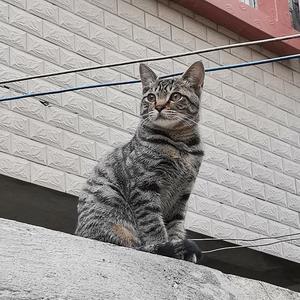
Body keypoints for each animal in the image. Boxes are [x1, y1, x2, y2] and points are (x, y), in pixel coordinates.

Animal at [76, 61, 205, 262]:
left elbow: (176, 224)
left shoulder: (182, 194)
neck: (181, 145)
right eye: (151, 97)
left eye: (175, 96)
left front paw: (178, 248)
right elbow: (153, 222)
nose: (159, 106)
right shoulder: (145, 185)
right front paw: (163, 245)